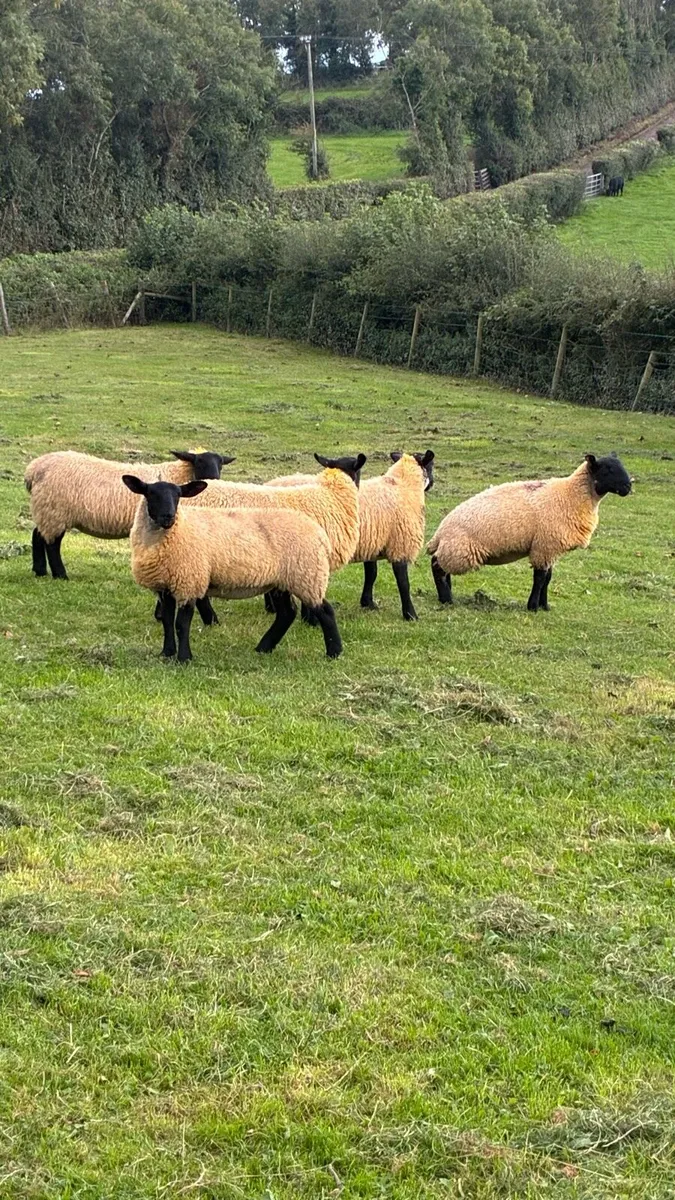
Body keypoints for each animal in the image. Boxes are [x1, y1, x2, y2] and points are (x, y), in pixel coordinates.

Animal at [25, 448, 233, 579]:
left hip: (46, 510)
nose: (214, 478)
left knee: (38, 535)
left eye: (221, 464)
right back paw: (60, 575)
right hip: (54, 511)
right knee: (52, 544)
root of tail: (34, 469)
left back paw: (39, 571)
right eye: (198, 462)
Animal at [122, 476, 342, 662]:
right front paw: (166, 653)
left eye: (178, 495)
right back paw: (263, 648)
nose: (168, 516)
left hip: (307, 575)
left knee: (325, 611)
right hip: (282, 581)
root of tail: (319, 533)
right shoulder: (165, 586)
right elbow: (167, 622)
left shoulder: (189, 581)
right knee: (287, 613)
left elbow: (181, 624)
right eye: (151, 494)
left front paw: (184, 658)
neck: (177, 530)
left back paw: (334, 652)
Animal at [269, 450, 435, 621]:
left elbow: (371, 573)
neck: (402, 486)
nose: (432, 483)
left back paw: (271, 608)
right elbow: (403, 582)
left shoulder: (372, 543)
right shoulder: (400, 544)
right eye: (430, 466)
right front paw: (410, 614)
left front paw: (368, 603)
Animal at [427, 453, 632, 612]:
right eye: (608, 469)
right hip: (460, 551)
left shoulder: (549, 549)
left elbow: (548, 578)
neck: (571, 495)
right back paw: (446, 599)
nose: (629, 487)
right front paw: (533, 606)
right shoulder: (544, 547)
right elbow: (540, 579)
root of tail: (439, 533)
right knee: (437, 567)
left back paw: (447, 594)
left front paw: (544, 606)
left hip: (454, 551)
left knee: (442, 568)